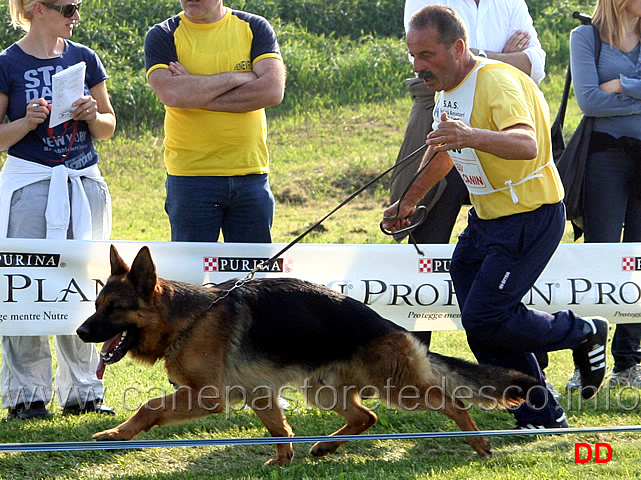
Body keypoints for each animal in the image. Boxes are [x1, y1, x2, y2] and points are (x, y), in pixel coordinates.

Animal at [75, 244, 536, 464]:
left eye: (113, 310)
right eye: (96, 305)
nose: (80, 332)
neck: (187, 318)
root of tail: (394, 327)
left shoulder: (207, 396)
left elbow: (150, 406)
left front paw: (115, 435)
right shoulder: (259, 393)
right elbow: (280, 429)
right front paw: (284, 461)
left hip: (398, 388)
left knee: (452, 402)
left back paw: (479, 442)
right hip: (323, 390)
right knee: (366, 417)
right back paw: (325, 448)